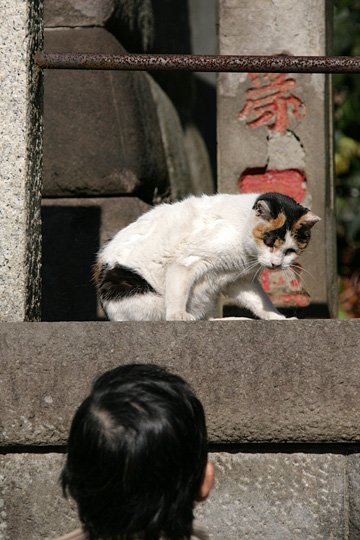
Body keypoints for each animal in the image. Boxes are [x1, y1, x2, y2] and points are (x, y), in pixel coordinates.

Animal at [94, 192, 320, 320]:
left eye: (290, 251)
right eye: (269, 242)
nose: (276, 264)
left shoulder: (237, 279)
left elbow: (259, 301)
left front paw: (277, 317)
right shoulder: (186, 261)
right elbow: (178, 294)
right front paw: (177, 315)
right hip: (142, 296)